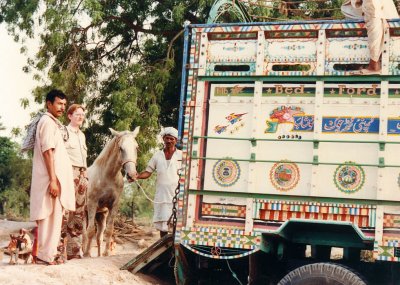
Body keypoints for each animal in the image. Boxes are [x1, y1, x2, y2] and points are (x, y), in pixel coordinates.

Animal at [82, 126, 140, 255]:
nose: (132, 175)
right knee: (85, 233)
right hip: (83, 213)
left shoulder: (113, 205)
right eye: (121, 148)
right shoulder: (92, 203)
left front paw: (105, 253)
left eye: (136, 147)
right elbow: (90, 231)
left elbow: (109, 230)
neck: (107, 176)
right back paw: (82, 252)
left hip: (100, 215)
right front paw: (87, 254)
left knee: (98, 236)